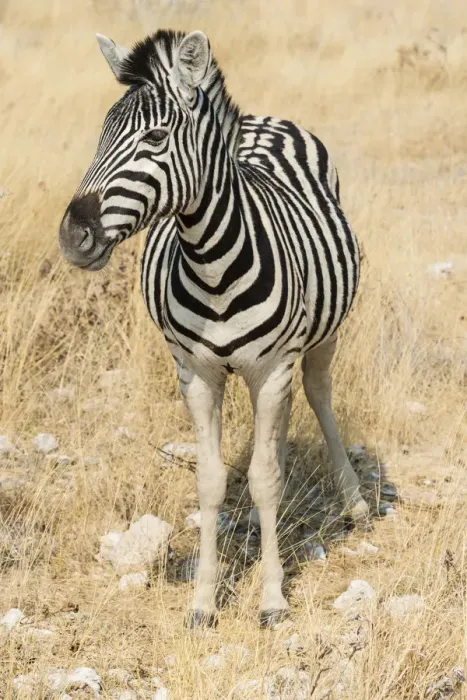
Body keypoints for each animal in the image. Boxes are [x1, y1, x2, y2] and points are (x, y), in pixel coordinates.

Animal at [59, 29, 369, 628]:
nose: (73, 235)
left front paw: (272, 599)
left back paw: (354, 500)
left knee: (318, 393)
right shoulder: (197, 373)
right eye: (101, 134)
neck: (212, 263)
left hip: (319, 336)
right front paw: (203, 602)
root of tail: (263, 119)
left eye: (155, 137)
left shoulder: (273, 368)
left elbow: (265, 481)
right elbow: (211, 481)